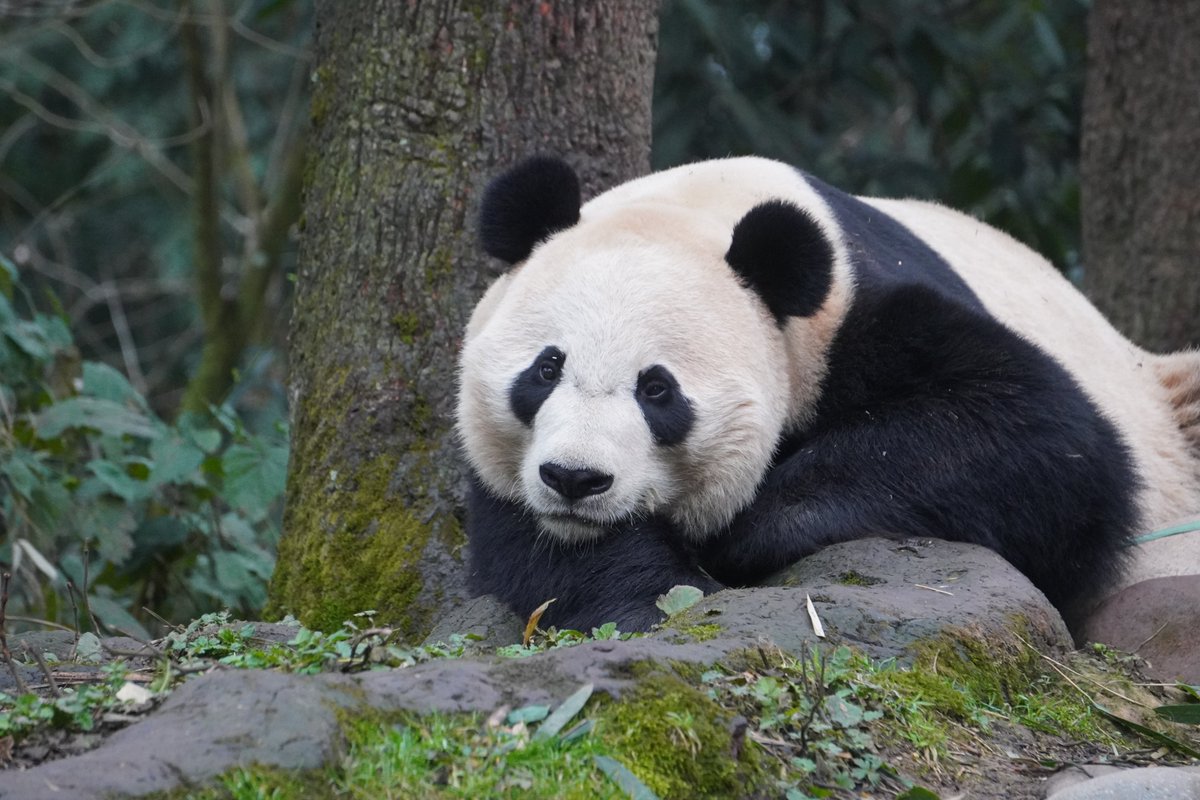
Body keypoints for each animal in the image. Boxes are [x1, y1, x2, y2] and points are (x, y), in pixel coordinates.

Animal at [456, 155, 1200, 636]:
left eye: (657, 389)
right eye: (546, 369)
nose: (574, 478)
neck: (703, 211)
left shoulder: (859, 313)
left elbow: (1046, 440)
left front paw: (741, 532)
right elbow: (528, 544)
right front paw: (653, 595)